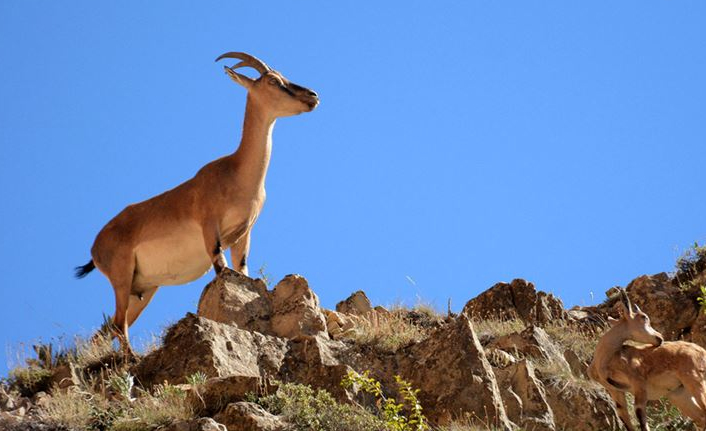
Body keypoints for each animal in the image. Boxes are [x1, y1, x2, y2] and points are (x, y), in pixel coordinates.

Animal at [75, 52, 320, 358]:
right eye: (273, 81)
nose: (312, 96)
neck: (237, 174)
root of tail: (95, 247)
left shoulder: (244, 233)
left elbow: (241, 270)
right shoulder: (209, 227)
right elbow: (221, 269)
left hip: (142, 289)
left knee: (107, 329)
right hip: (121, 277)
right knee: (118, 325)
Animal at [584, 290, 704, 431]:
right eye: (644, 317)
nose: (660, 337)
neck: (604, 361)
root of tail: (701, 351)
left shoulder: (638, 384)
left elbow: (641, 417)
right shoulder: (615, 390)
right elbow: (624, 416)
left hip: (695, 379)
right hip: (679, 394)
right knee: (701, 417)